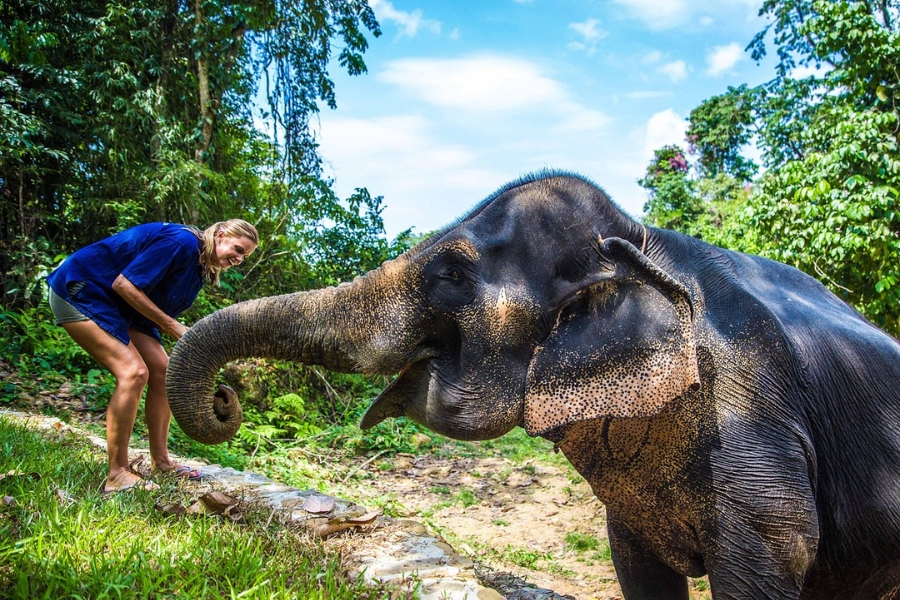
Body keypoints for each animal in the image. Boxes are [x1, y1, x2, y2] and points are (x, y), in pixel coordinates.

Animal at [165, 171, 900, 596]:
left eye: (451, 274)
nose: (226, 399)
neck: (644, 240)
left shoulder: (752, 428)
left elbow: (777, 551)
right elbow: (638, 569)